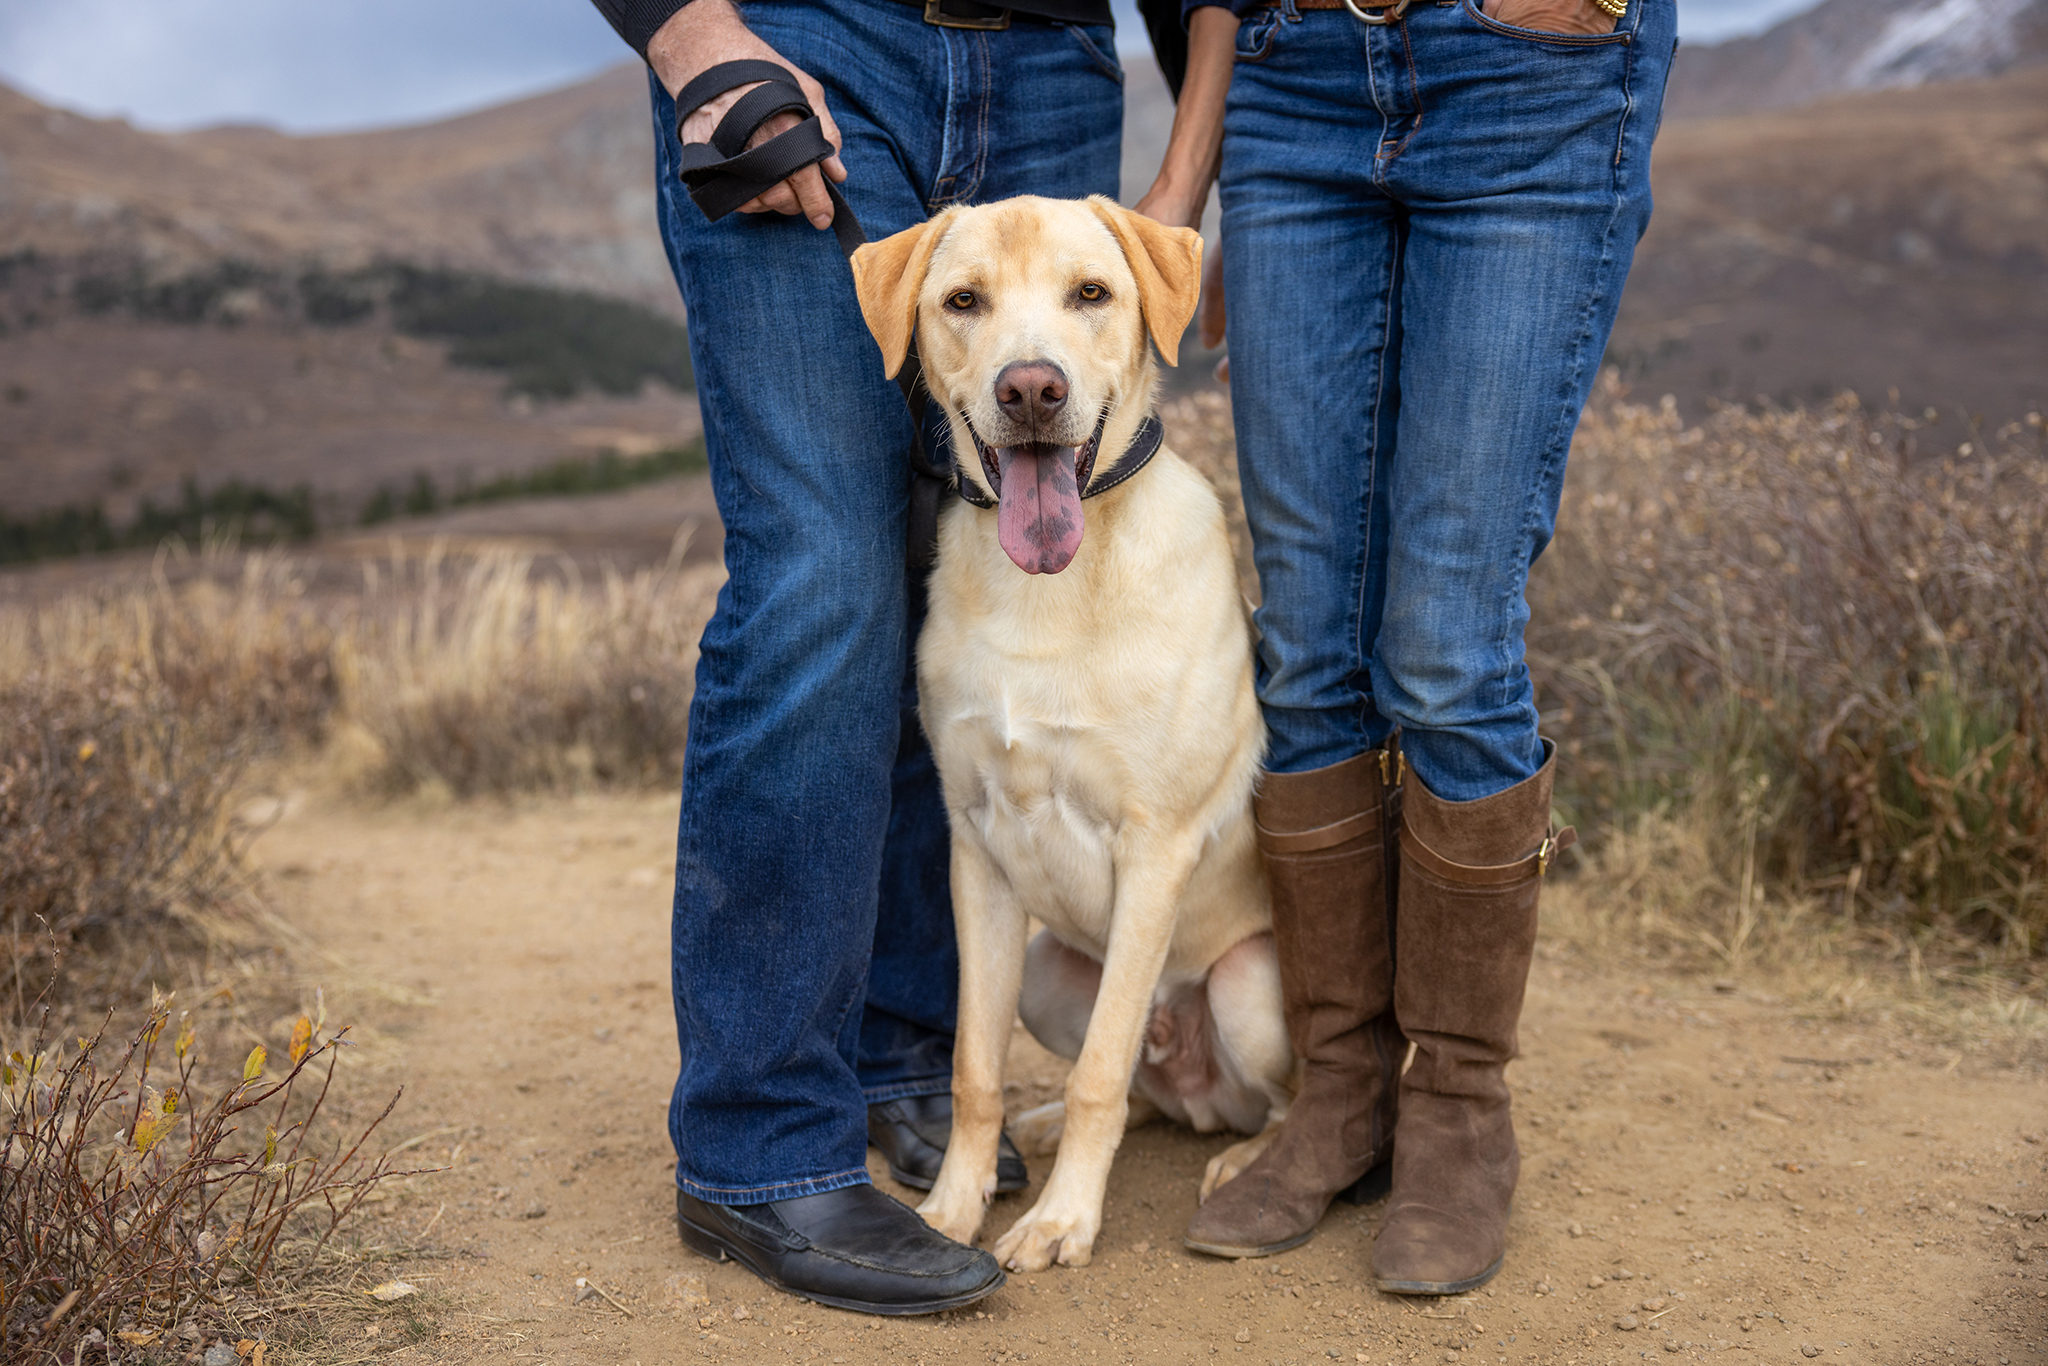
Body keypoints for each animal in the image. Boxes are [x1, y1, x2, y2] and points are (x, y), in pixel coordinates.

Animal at [856, 197, 1286, 1277]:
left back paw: (1248, 1160)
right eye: (963, 301)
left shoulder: (1156, 847)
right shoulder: (975, 846)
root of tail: (1196, 1080)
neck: (1045, 590)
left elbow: (1098, 1072)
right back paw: (1048, 1127)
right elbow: (973, 1068)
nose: (1031, 388)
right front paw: (951, 1209)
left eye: (1090, 292)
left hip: (1246, 985)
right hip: (1051, 973)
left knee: (1233, 1093)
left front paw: (1060, 1223)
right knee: (1141, 1084)